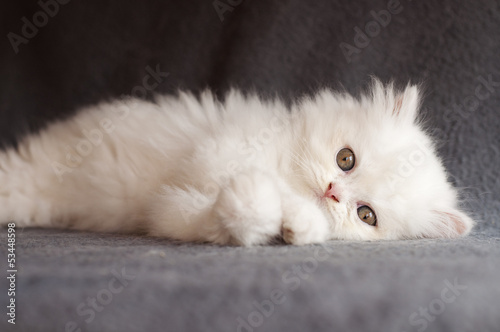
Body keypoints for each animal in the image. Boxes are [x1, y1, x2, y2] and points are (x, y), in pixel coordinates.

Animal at [0, 80, 472, 246]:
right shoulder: (218, 151)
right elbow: (262, 189)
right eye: (346, 159)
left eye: (366, 215)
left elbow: (222, 219)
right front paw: (282, 209)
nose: (332, 192)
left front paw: (294, 226)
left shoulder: (171, 211)